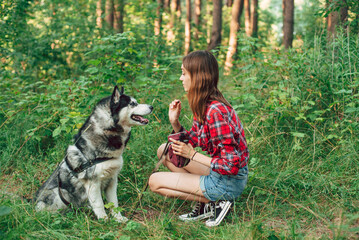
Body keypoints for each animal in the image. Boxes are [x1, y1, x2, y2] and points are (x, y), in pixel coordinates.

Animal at [35, 85, 155, 222]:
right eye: (133, 103)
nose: (151, 106)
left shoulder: (112, 180)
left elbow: (114, 203)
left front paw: (118, 219)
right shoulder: (93, 183)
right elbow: (99, 204)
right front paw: (104, 221)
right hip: (59, 193)